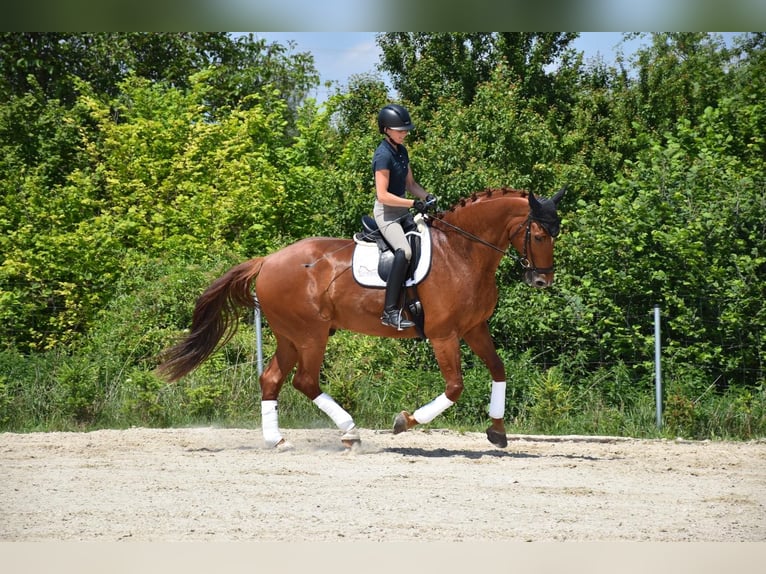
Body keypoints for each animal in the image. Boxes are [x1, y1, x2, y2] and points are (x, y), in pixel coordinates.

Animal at [158, 188, 564, 450]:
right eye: (539, 235)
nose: (542, 280)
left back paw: (277, 440)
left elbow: (498, 369)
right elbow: (454, 388)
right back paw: (350, 432)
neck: (462, 251)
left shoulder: (474, 328)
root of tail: (267, 260)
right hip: (311, 334)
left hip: (291, 336)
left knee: (272, 378)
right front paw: (404, 422)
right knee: (305, 381)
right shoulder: (444, 334)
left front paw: (497, 432)